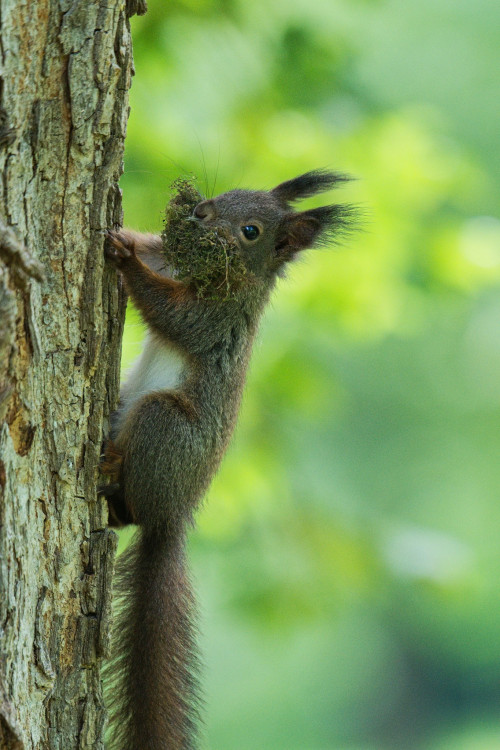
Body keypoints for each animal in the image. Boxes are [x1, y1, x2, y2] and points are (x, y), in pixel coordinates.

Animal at [100, 172, 352, 750]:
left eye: (250, 231)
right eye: (235, 191)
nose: (201, 213)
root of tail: (173, 515)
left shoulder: (218, 319)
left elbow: (175, 315)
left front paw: (124, 259)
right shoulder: (173, 260)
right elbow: (156, 249)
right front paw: (130, 233)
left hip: (161, 425)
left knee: (130, 508)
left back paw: (111, 476)